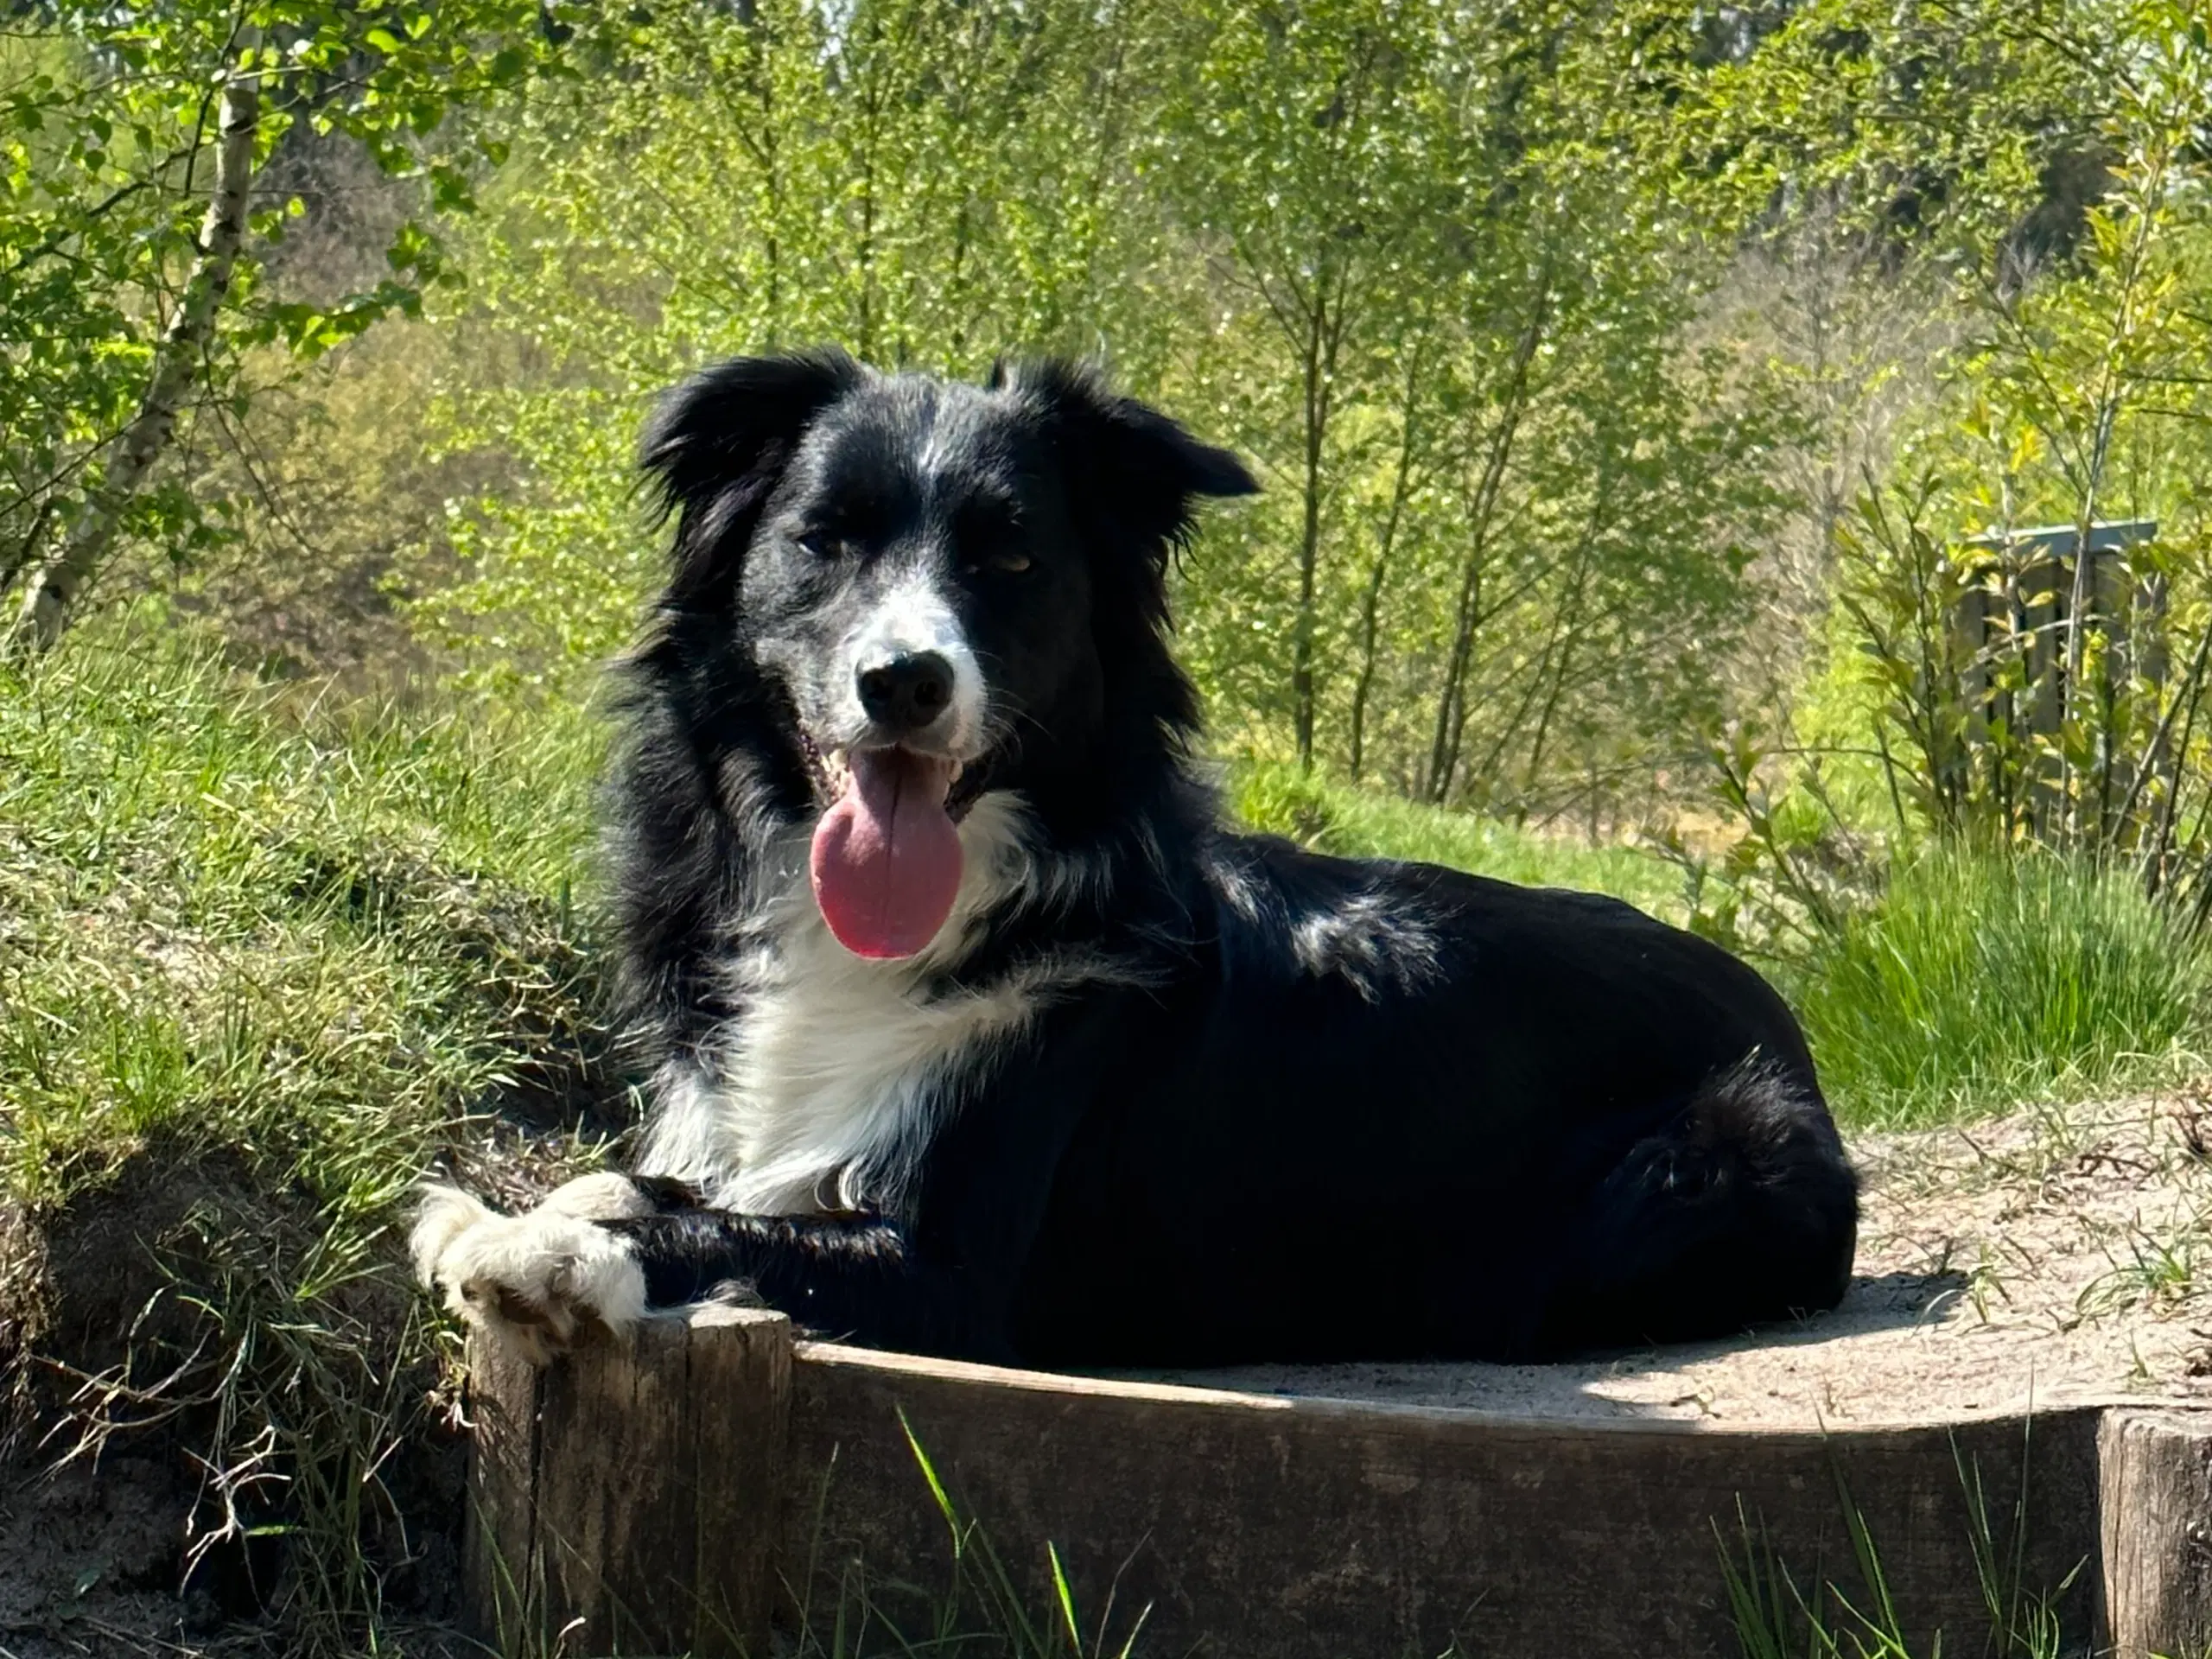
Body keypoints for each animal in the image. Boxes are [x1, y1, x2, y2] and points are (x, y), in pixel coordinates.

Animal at [411, 353, 1849, 1380]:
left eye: (1011, 557)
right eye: (824, 540)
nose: (904, 681)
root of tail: (1776, 1007)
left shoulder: (959, 1270)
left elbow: (720, 1226)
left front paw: (533, 1242)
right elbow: (671, 1180)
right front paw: (528, 1213)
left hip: (1715, 1157)